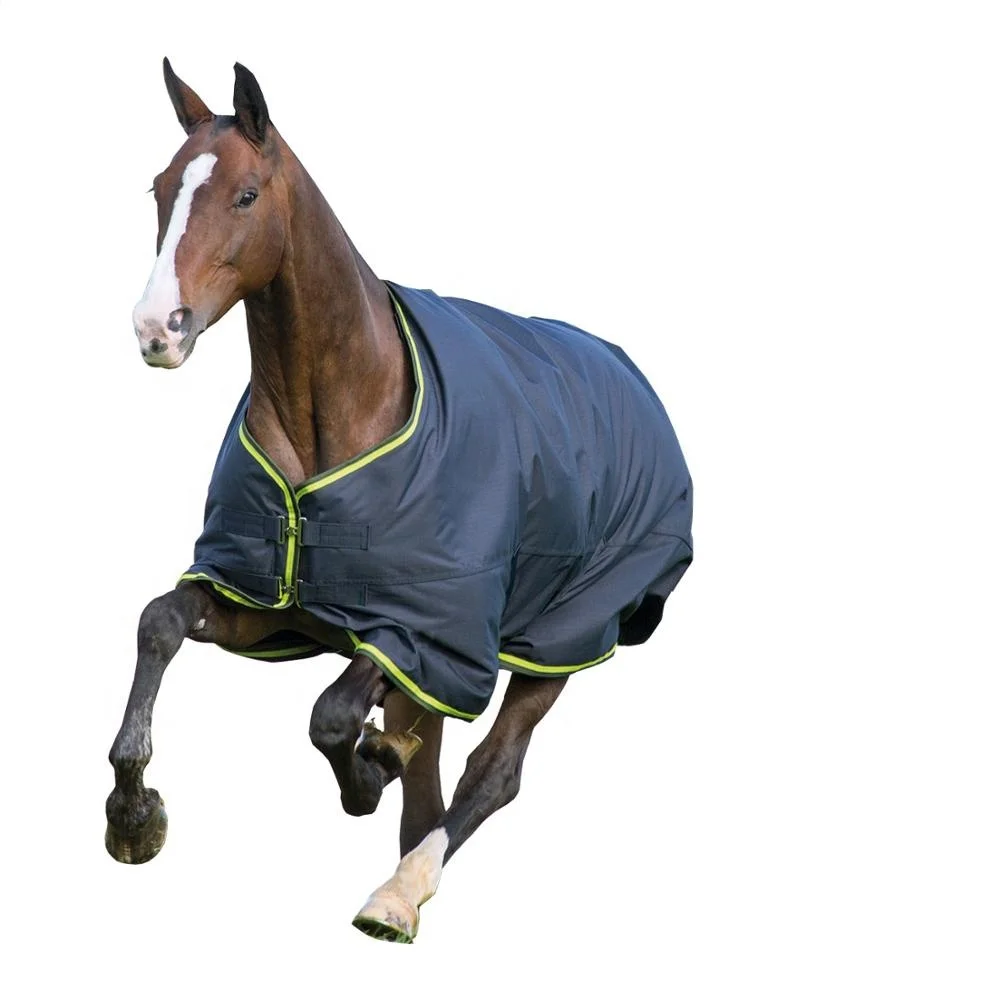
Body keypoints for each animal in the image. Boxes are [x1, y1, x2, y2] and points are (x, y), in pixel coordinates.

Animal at [106, 59, 693, 943]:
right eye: (160, 188)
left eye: (246, 195)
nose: (157, 329)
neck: (341, 414)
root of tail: (630, 374)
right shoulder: (271, 604)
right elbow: (159, 623)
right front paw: (134, 813)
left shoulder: (422, 631)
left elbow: (332, 716)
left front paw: (370, 768)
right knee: (436, 784)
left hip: (561, 636)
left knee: (493, 772)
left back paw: (399, 891)